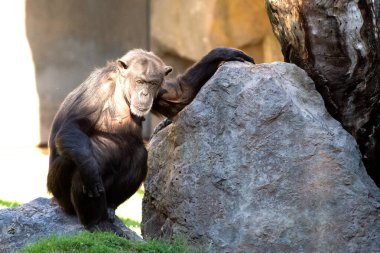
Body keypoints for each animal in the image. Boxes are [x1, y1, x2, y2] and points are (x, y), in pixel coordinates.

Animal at [47, 48, 254, 235]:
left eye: (152, 83)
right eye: (139, 81)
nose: (145, 94)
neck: (121, 89)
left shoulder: (162, 89)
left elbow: (181, 93)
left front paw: (223, 54)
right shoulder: (98, 89)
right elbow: (73, 127)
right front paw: (90, 171)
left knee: (139, 155)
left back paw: (110, 207)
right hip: (61, 195)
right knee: (90, 155)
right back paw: (96, 222)